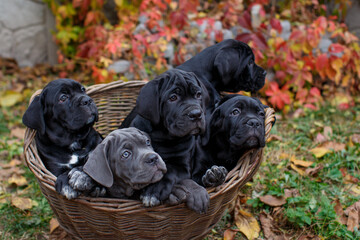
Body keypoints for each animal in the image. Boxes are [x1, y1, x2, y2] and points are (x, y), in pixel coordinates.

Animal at [121, 68, 210, 207]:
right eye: (173, 98)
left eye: (198, 95)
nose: (196, 114)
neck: (164, 136)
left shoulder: (183, 167)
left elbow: (168, 170)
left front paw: (153, 191)